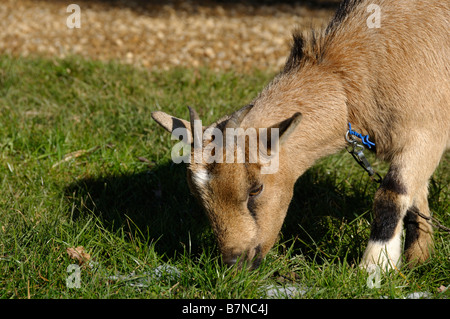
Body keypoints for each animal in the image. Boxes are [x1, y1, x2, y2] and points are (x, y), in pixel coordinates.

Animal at [152, 0, 450, 272]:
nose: (235, 264)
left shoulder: (426, 133)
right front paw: (418, 260)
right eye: (198, 196)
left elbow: (392, 193)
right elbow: (415, 199)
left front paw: (374, 269)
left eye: (255, 188)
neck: (347, 81)